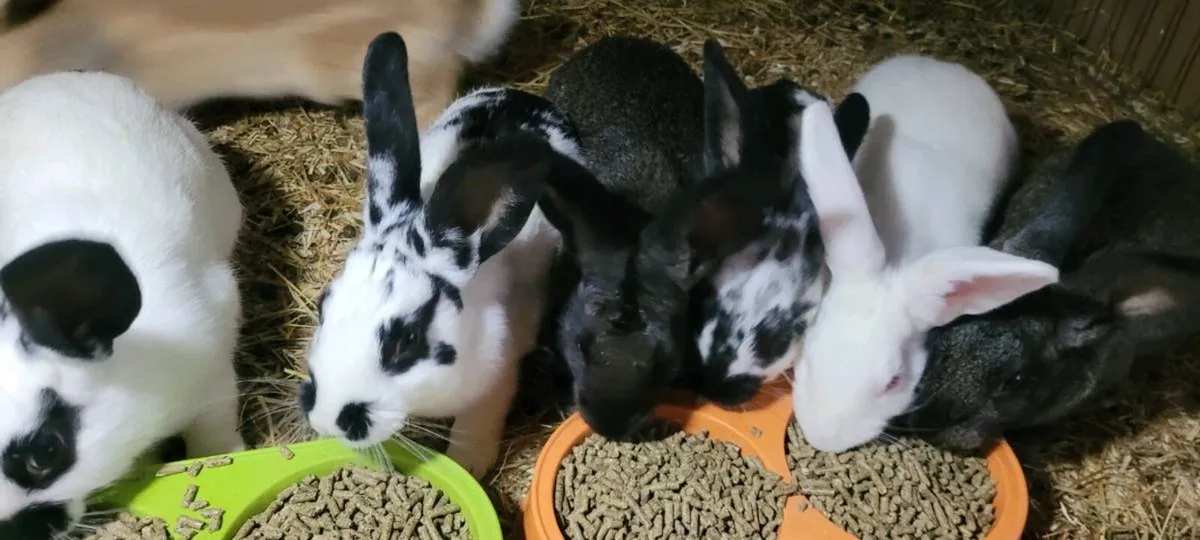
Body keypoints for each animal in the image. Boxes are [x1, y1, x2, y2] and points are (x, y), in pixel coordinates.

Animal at [299, 32, 574, 480]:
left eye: (406, 340)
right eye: (323, 307)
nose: (326, 420)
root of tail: (518, 95)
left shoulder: (497, 382)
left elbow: (475, 429)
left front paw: (468, 465)